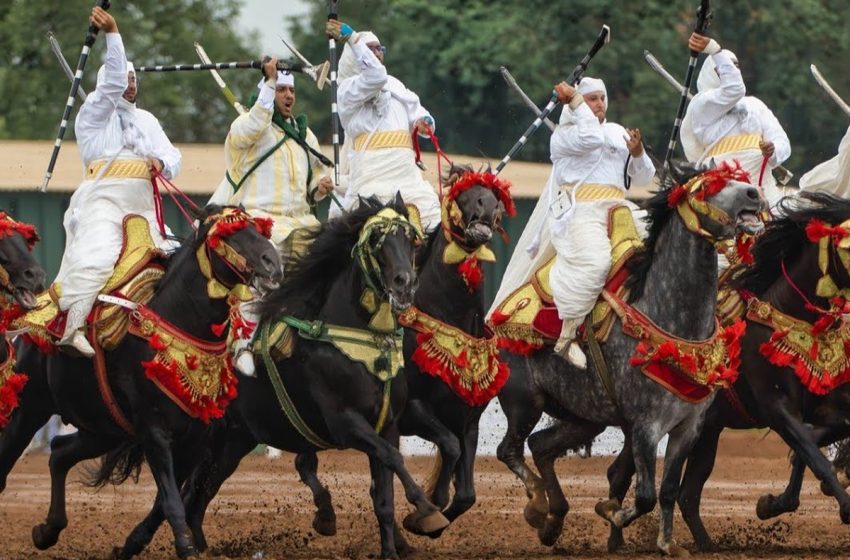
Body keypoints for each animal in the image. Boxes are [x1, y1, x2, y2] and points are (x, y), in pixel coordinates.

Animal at [10, 208, 282, 556]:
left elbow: (167, 500)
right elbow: (171, 499)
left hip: (103, 428)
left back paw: (47, 530)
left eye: (259, 229)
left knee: (59, 452)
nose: (272, 262)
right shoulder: (154, 430)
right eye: (230, 234)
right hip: (27, 410)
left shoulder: (195, 437)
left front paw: (131, 544)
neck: (178, 324)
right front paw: (186, 547)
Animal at [117, 194, 448, 560]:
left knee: (196, 499)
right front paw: (427, 510)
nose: (405, 282)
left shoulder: (386, 424)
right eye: (376, 240)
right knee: (180, 496)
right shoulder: (345, 422)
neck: (349, 337)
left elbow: (385, 495)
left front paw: (394, 545)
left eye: (410, 239)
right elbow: (392, 458)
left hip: (231, 442)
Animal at [490, 163, 760, 556]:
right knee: (509, 449)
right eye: (708, 186)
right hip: (525, 402)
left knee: (540, 447)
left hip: (584, 417)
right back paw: (539, 505)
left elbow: (668, 491)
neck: (670, 317)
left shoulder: (688, 427)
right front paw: (611, 511)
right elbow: (646, 495)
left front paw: (667, 543)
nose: (755, 193)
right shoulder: (646, 426)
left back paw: (553, 521)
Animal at [604, 190, 850, 548]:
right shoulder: (777, 410)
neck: (785, 320)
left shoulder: (822, 405)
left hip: (707, 430)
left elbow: (816, 444)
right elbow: (814, 456)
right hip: (648, 425)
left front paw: (773, 502)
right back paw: (616, 541)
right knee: (622, 474)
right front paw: (841, 507)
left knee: (687, 494)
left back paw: (705, 545)